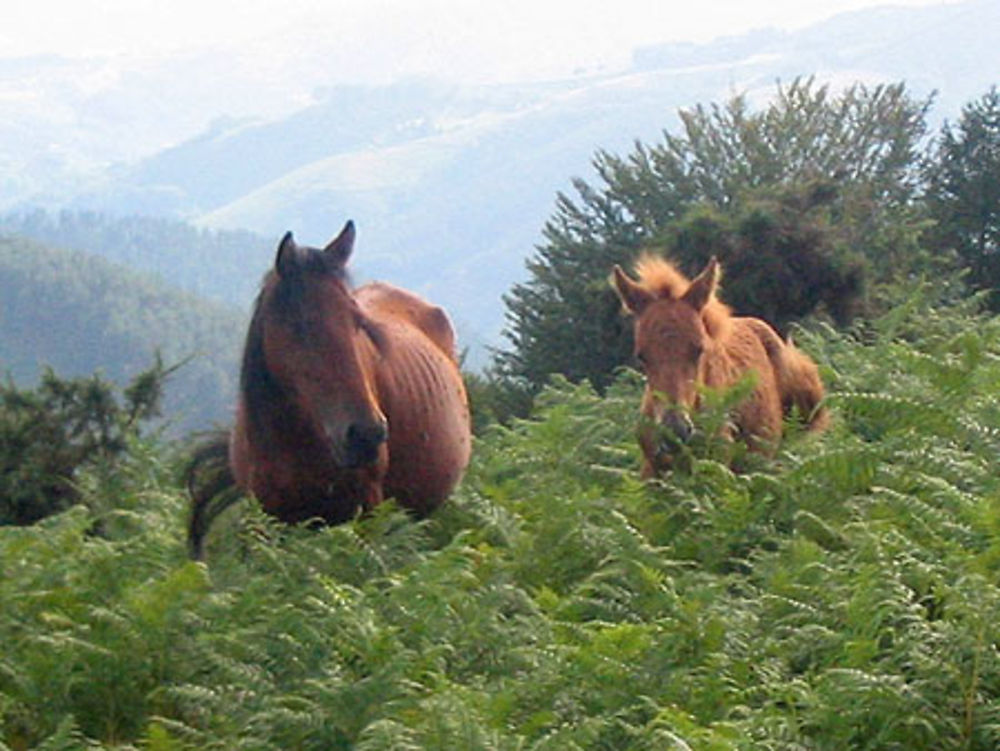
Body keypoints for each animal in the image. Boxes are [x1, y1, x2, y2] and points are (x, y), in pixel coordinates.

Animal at [188, 222, 472, 560]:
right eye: (300, 326)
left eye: (358, 321)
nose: (366, 434)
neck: (292, 440)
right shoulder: (269, 518)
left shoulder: (368, 509)